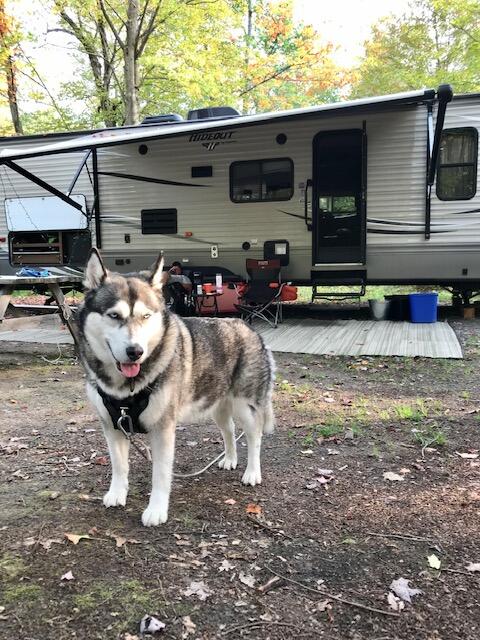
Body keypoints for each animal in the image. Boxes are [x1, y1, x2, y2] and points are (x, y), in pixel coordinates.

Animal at [77, 249, 276, 524]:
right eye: (114, 315)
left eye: (146, 316)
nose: (135, 351)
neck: (127, 387)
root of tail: (249, 327)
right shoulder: (113, 424)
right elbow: (119, 465)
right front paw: (117, 494)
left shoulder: (162, 429)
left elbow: (160, 475)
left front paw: (156, 510)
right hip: (217, 404)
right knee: (229, 430)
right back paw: (230, 459)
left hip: (244, 405)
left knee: (254, 435)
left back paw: (252, 472)